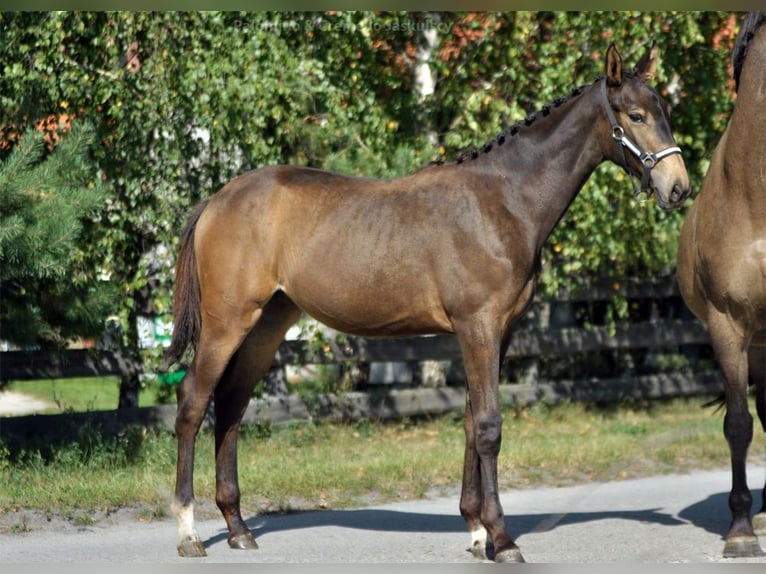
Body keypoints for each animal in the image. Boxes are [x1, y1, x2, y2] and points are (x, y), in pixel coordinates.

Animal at [165, 42, 690, 562]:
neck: (503, 200)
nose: (678, 187)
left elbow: (470, 422)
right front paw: (503, 540)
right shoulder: (478, 326)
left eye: (666, 112)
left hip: (268, 324)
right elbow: (489, 426)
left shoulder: (497, 333)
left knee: (231, 403)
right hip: (227, 323)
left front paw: (477, 532)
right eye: (636, 115)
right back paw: (189, 533)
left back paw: (237, 527)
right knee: (193, 401)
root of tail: (216, 201)